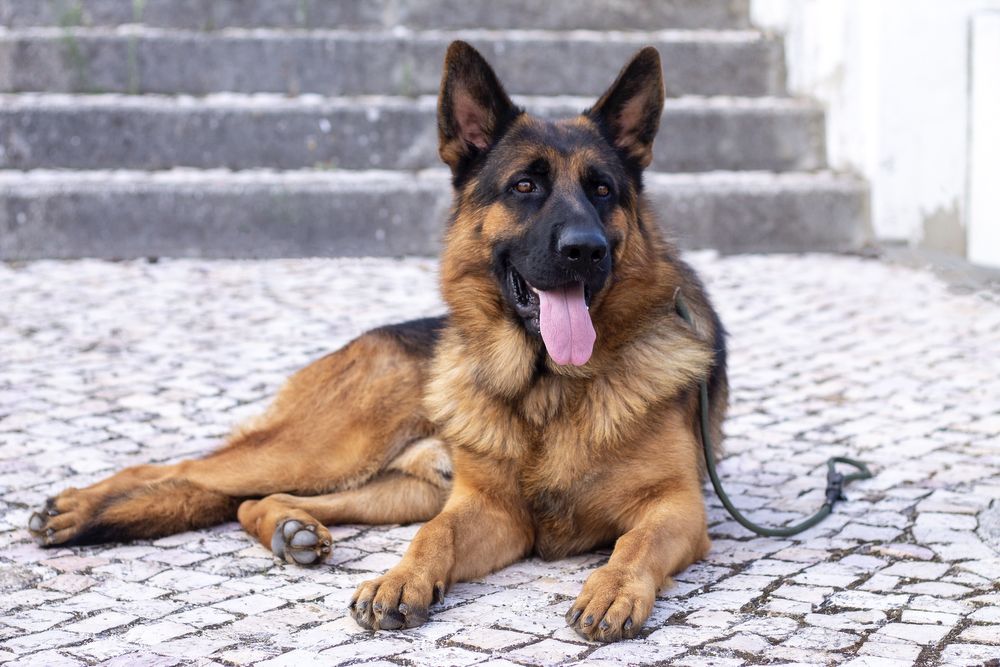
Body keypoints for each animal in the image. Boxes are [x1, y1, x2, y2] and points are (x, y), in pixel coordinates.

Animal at [29, 40, 728, 640]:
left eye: (602, 190)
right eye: (525, 186)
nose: (584, 249)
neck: (547, 389)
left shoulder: (675, 509)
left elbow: (633, 542)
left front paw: (611, 588)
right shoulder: (490, 511)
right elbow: (435, 538)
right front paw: (400, 580)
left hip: (397, 487)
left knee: (249, 498)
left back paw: (289, 526)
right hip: (330, 446)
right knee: (179, 469)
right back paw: (79, 508)